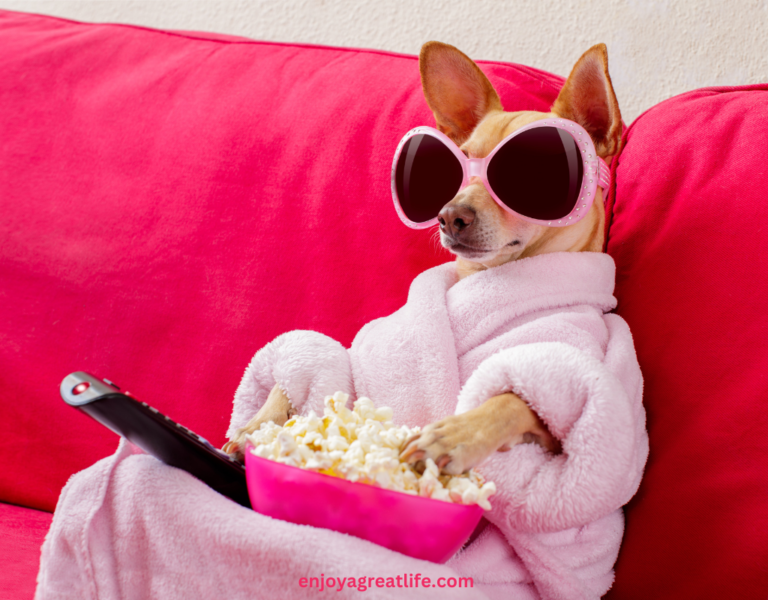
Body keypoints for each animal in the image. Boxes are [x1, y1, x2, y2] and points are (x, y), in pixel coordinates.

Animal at [224, 41, 624, 478]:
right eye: (459, 166)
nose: (450, 215)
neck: (488, 276)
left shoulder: (566, 391)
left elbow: (510, 399)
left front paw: (454, 435)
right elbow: (311, 374)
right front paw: (257, 427)